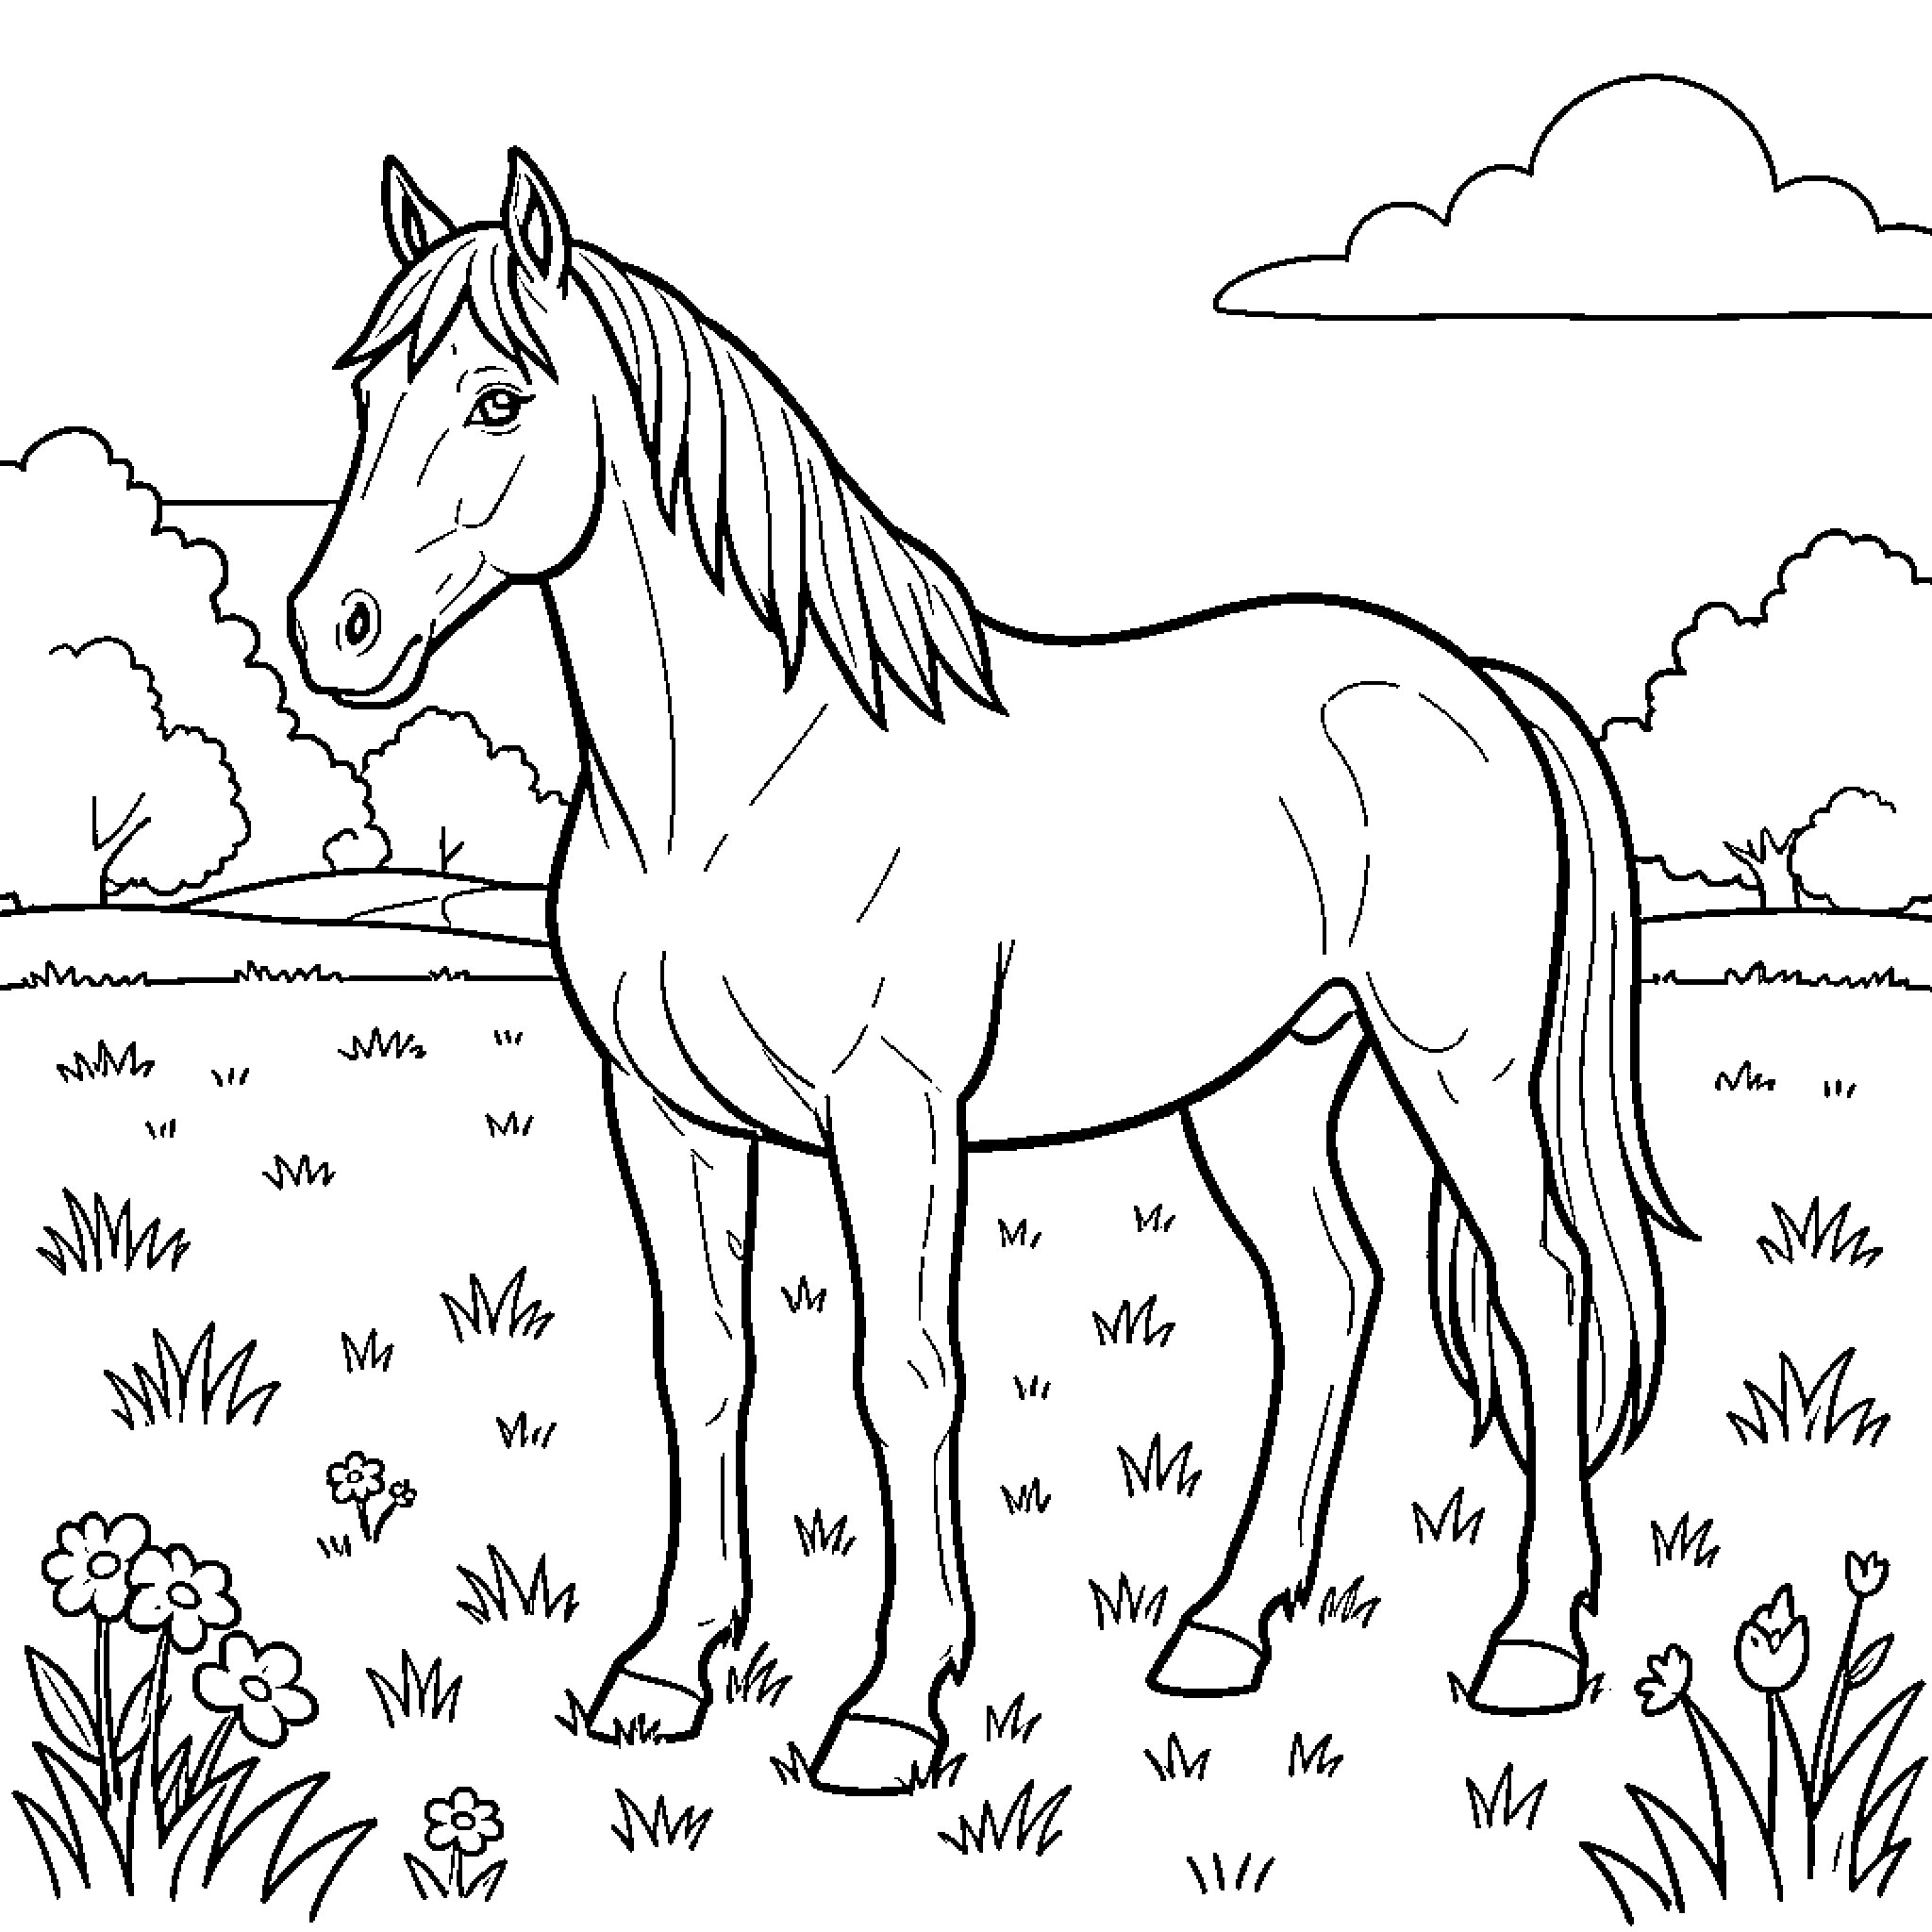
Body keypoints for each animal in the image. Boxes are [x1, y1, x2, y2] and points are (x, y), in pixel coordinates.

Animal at [289, 149, 1688, 1794]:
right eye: (366, 394)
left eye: (499, 397)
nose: (333, 633)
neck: (729, 788)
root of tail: (1470, 686)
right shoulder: (664, 1115)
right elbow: (702, 1365)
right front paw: (666, 1671)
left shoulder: (893, 1114)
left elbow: (902, 1377)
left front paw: (893, 1706)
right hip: (1265, 1084)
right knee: (1329, 1293)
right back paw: (1226, 1630)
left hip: (1456, 1065)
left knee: (1543, 1285)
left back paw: (1533, 1647)